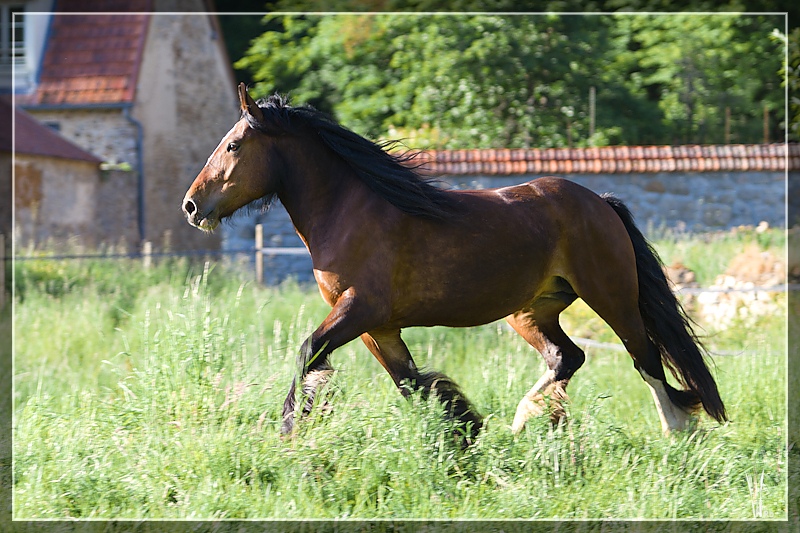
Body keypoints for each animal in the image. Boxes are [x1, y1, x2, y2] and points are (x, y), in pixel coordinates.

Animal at [184, 82, 728, 440]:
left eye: (234, 145)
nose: (192, 206)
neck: (349, 210)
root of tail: (601, 202)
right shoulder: (377, 327)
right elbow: (411, 383)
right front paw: (464, 432)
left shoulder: (359, 309)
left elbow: (309, 354)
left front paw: (290, 428)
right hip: (530, 311)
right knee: (567, 356)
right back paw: (527, 420)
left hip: (611, 297)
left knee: (645, 356)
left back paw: (678, 430)